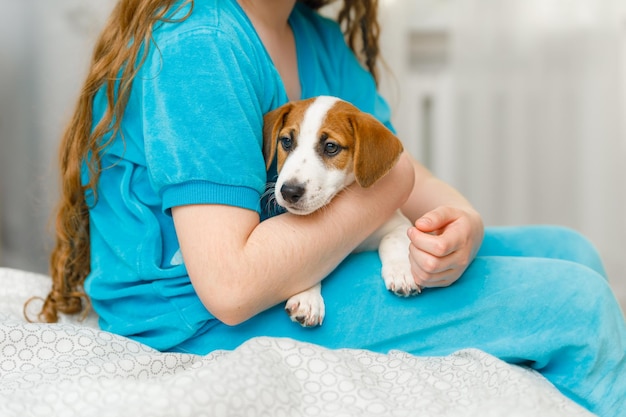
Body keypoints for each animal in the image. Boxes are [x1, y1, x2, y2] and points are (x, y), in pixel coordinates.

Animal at [264, 96, 420, 326]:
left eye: (331, 147)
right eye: (286, 141)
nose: (289, 191)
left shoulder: (398, 223)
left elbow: (392, 240)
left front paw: (402, 270)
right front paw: (307, 297)